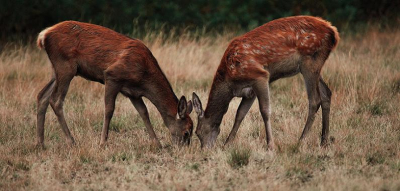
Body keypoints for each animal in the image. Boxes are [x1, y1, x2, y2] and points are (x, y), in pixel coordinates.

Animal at [35, 20, 195, 148]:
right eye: (187, 132)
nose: (184, 148)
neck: (144, 78)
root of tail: (43, 35)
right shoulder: (112, 76)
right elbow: (109, 110)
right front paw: (102, 143)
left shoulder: (133, 93)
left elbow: (144, 112)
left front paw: (157, 143)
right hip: (65, 66)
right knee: (55, 100)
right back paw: (71, 141)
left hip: (57, 70)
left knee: (42, 96)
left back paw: (41, 143)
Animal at [192, 15, 340, 149]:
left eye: (197, 132)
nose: (205, 150)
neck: (230, 83)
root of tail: (334, 32)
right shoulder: (249, 91)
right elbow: (240, 114)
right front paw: (227, 144)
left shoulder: (259, 76)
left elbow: (265, 111)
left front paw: (270, 145)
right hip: (315, 66)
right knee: (326, 93)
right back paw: (324, 141)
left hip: (309, 62)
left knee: (315, 100)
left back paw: (300, 141)